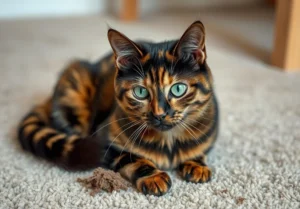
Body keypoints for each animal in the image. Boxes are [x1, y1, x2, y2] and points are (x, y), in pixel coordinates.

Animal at [18, 20, 218, 196]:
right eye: (140, 92)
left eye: (178, 89)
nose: (160, 114)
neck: (168, 141)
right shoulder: (108, 144)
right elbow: (132, 159)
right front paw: (153, 177)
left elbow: (200, 149)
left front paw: (196, 164)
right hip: (75, 82)